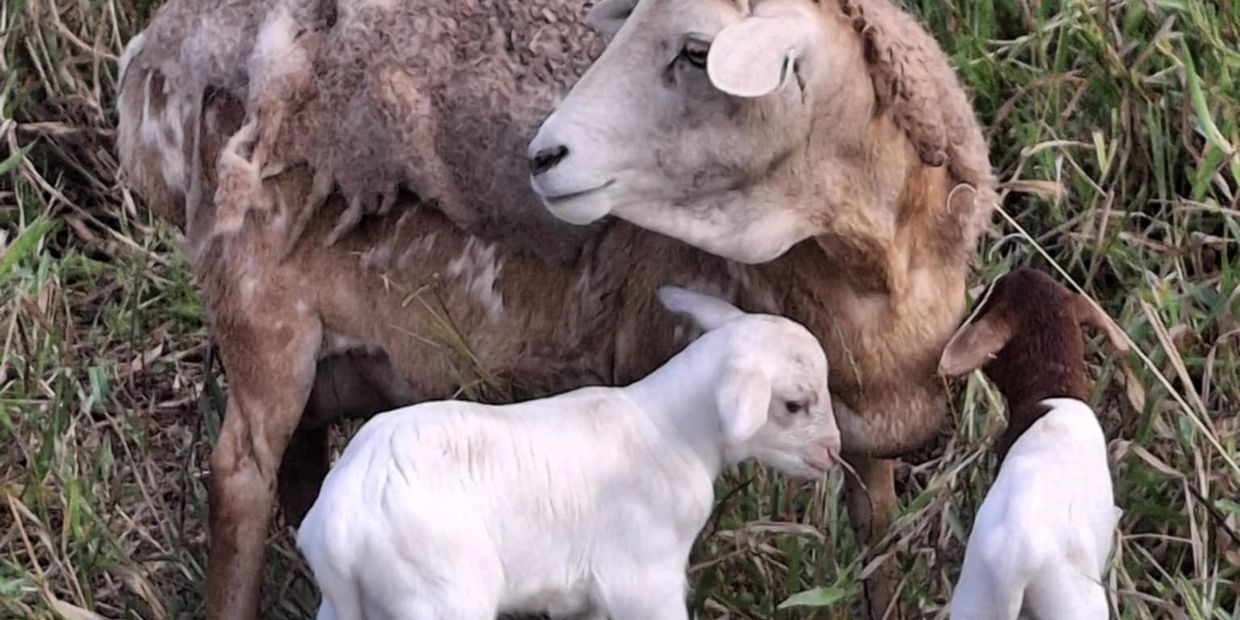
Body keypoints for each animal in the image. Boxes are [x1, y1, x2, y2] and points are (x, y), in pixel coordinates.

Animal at [297, 287, 841, 620]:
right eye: (794, 405)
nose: (833, 454)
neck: (671, 430)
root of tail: (343, 520)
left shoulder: (585, 595)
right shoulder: (644, 575)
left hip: (348, 605)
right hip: (439, 594)